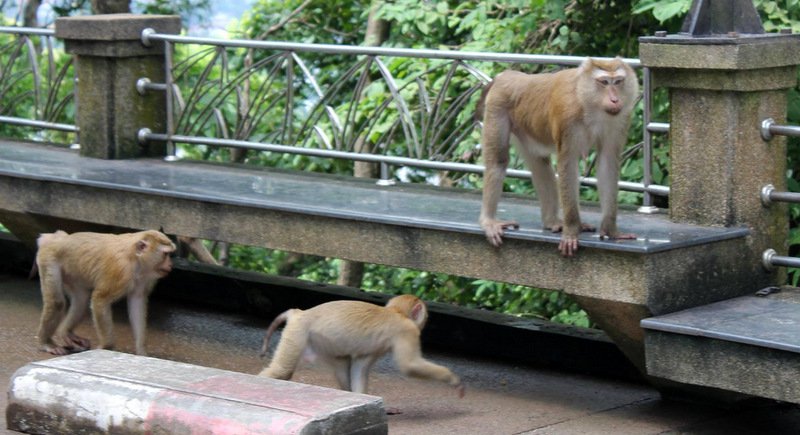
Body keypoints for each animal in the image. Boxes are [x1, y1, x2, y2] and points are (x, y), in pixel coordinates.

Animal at [34, 230, 175, 356]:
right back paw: (45, 343)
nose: (170, 265)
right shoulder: (120, 271)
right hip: (49, 259)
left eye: (170, 255)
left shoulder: (146, 277)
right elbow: (100, 299)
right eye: (165, 254)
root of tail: (55, 239)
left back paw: (66, 333)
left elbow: (137, 302)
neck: (135, 258)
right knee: (56, 302)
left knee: (81, 300)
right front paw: (106, 346)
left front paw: (141, 351)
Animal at [260, 294, 466, 400]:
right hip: (297, 333)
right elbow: (410, 366)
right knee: (282, 370)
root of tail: (300, 313)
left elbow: (359, 368)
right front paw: (452, 378)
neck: (396, 312)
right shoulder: (406, 330)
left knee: (341, 364)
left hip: (318, 340)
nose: (424, 323)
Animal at [478, 56, 640, 258]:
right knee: (498, 161)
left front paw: (611, 230)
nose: (615, 99)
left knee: (540, 164)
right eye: (604, 82)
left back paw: (552, 222)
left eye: (618, 82)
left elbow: (607, 164)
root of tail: (508, 76)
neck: (586, 101)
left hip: (525, 127)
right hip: (497, 107)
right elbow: (568, 165)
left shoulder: (620, 120)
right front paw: (571, 230)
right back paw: (488, 220)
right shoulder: (567, 117)